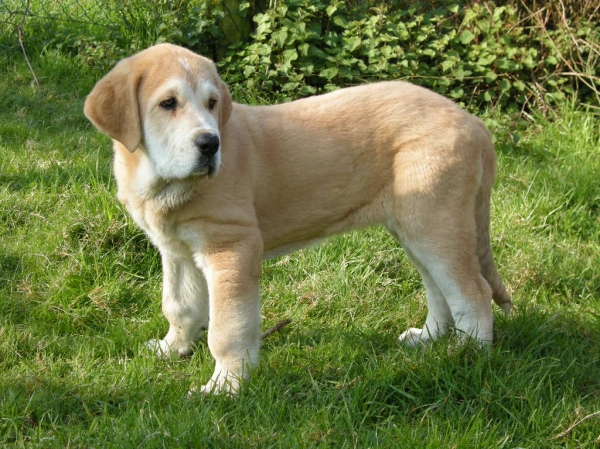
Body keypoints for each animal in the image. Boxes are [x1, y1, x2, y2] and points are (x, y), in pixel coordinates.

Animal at [84, 42, 510, 392]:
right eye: (168, 103)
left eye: (211, 104)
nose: (210, 144)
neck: (161, 180)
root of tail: (474, 124)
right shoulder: (177, 252)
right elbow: (179, 305)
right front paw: (171, 349)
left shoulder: (231, 248)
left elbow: (227, 328)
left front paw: (226, 387)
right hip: (416, 227)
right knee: (440, 288)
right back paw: (429, 339)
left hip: (437, 224)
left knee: (472, 291)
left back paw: (467, 356)